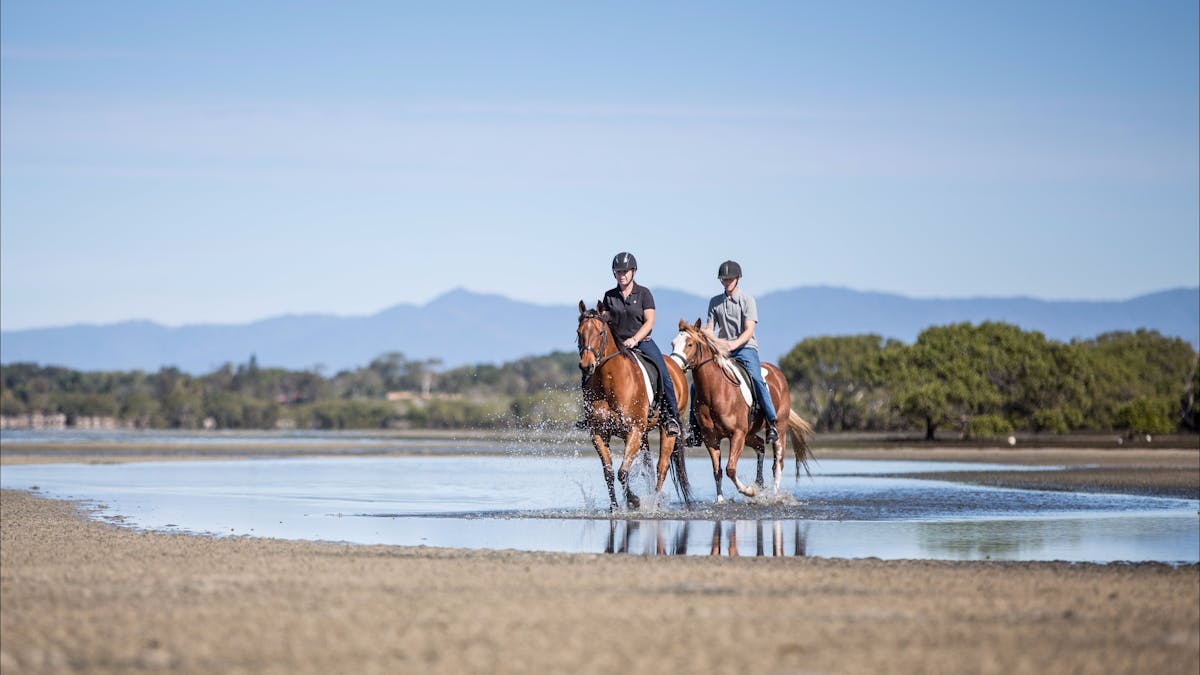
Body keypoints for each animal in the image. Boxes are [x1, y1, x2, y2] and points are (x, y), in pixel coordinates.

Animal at [577, 301, 692, 510]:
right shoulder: (599, 433)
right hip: (644, 433)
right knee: (649, 467)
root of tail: (676, 366)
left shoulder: (633, 431)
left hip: (666, 429)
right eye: (579, 332)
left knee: (661, 466)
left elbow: (623, 472)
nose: (586, 366)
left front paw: (634, 501)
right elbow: (609, 472)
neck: (609, 381)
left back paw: (655, 502)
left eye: (600, 332)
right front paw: (615, 506)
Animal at [669, 319, 814, 501]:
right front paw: (720, 500)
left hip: (779, 429)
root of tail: (778, 374)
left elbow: (730, 469)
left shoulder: (737, 434)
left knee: (778, 464)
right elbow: (717, 471)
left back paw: (773, 495)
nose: (674, 365)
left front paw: (748, 491)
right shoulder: (711, 438)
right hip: (749, 433)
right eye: (673, 343)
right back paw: (760, 483)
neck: (716, 391)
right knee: (760, 446)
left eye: (689, 344)